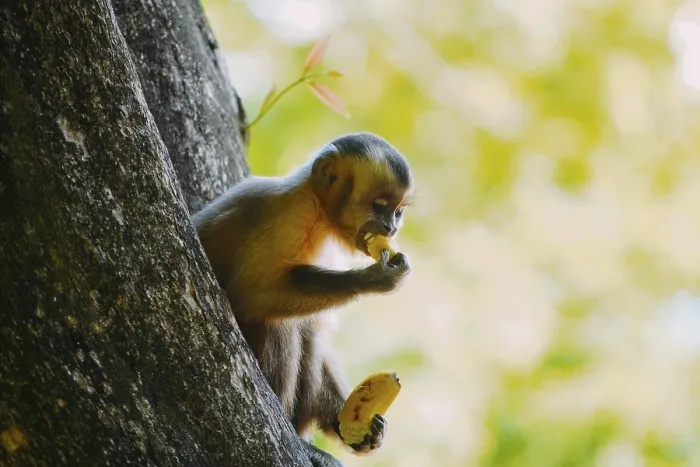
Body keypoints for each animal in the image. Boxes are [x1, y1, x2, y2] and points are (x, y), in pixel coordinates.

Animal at [192, 132, 413, 467]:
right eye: (379, 206)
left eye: (397, 211)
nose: (391, 227)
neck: (320, 210)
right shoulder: (290, 214)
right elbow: (248, 293)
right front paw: (373, 279)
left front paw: (352, 425)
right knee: (279, 324)